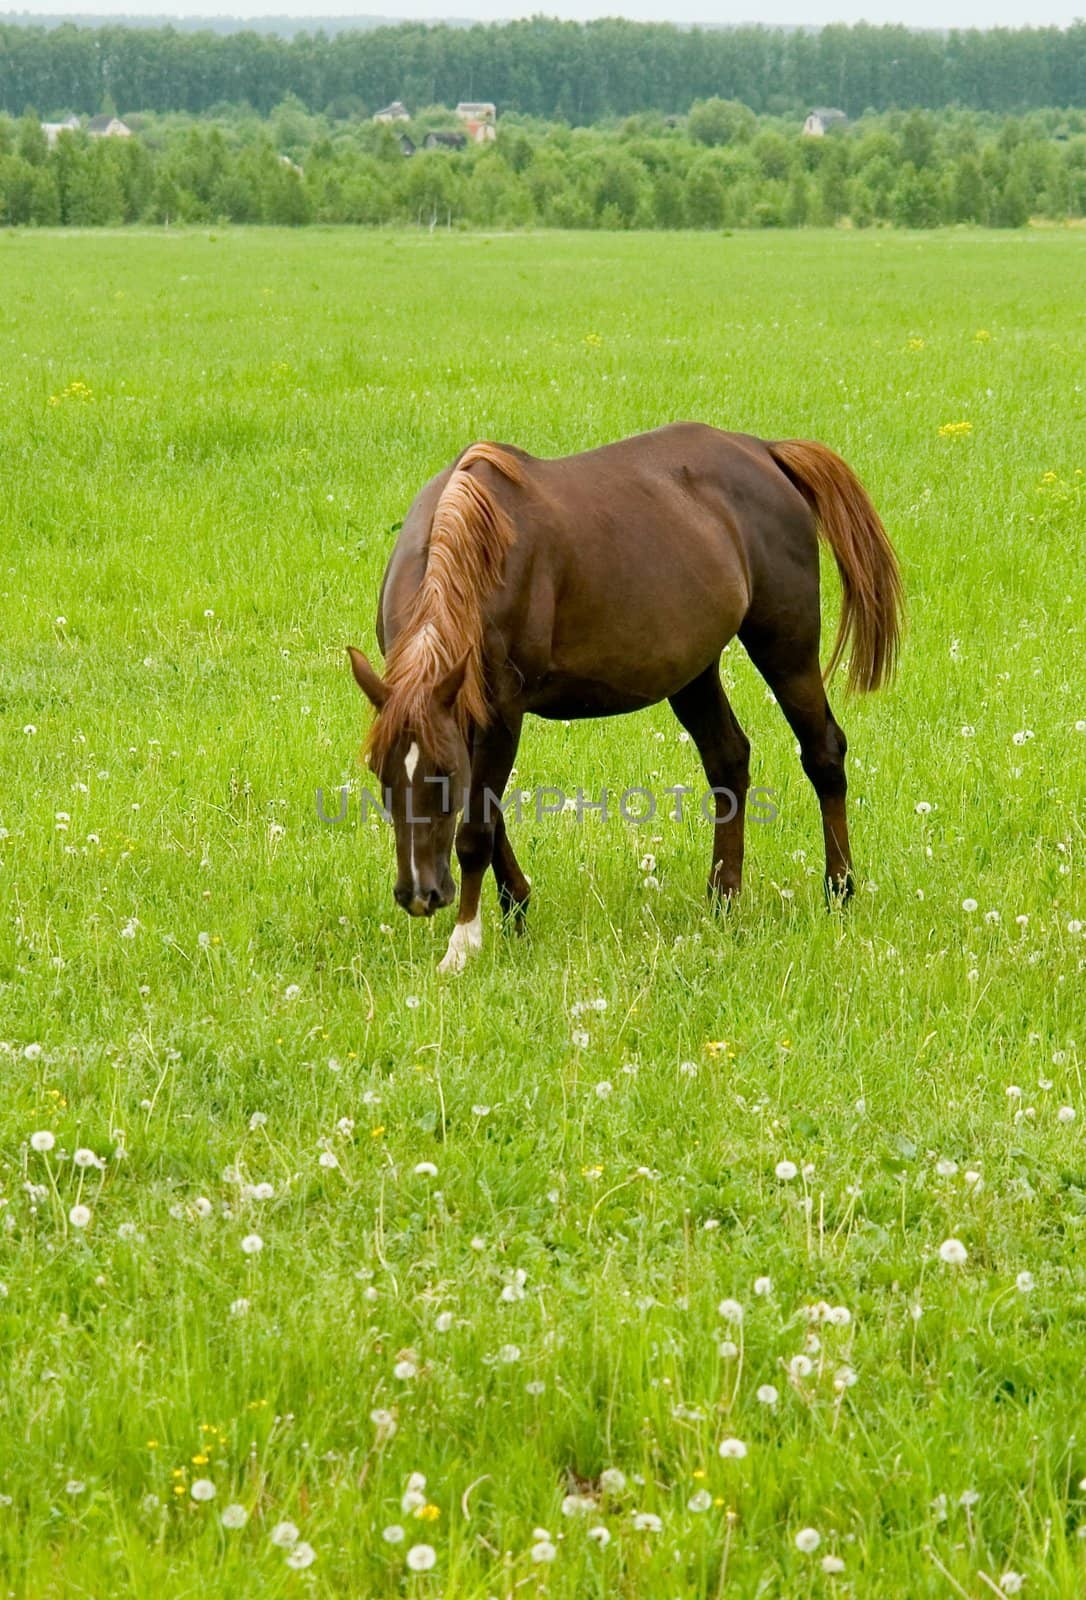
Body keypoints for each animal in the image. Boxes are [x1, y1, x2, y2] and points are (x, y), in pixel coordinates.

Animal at [348, 425, 902, 966]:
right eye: (381, 774)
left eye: (442, 776)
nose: (420, 895)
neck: (474, 547)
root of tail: (764, 452)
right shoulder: (466, 712)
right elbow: (490, 814)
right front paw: (516, 908)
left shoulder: (501, 712)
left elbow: (477, 829)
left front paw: (464, 942)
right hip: (693, 671)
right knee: (728, 760)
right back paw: (723, 897)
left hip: (786, 646)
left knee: (823, 753)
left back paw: (839, 889)